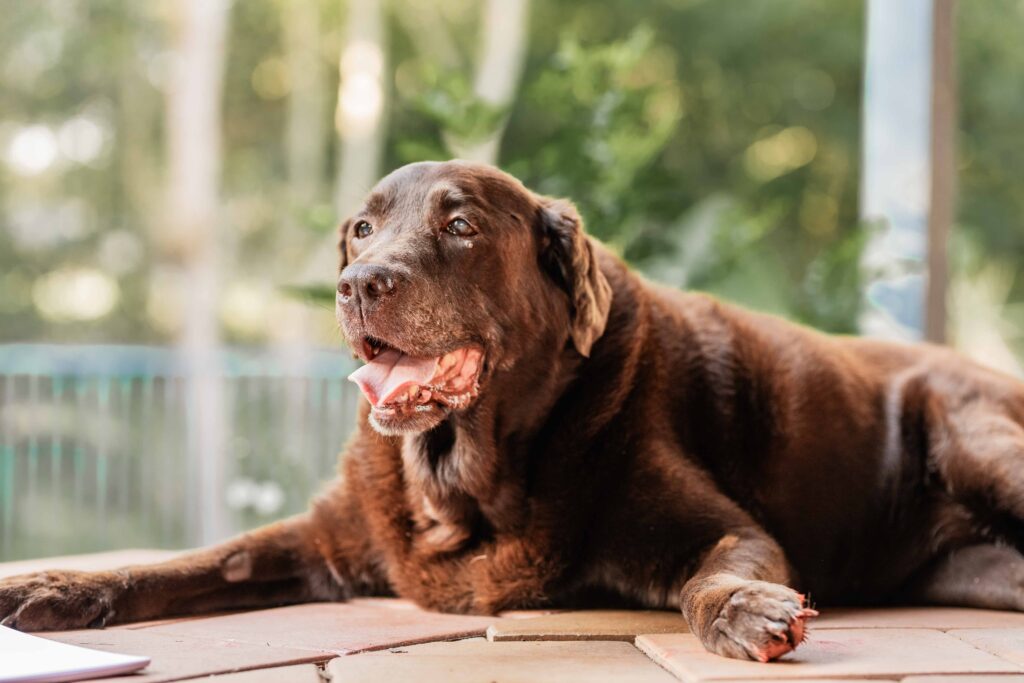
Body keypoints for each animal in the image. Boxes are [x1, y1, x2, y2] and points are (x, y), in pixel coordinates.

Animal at [6, 161, 1024, 663]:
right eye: (363, 228)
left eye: (459, 225)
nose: (357, 283)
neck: (458, 476)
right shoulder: (327, 542)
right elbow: (194, 560)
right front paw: (52, 585)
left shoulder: (727, 529)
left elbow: (713, 576)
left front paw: (744, 610)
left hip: (979, 442)